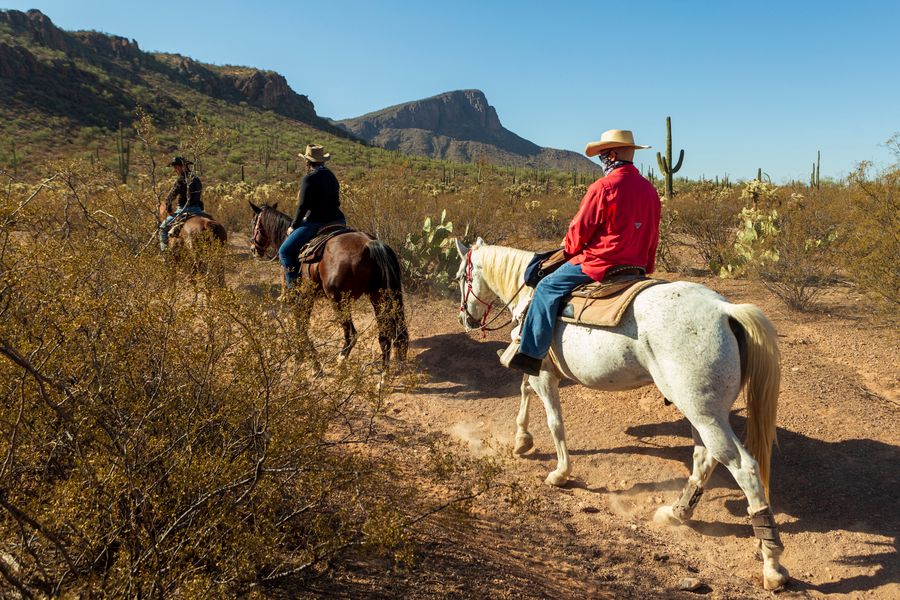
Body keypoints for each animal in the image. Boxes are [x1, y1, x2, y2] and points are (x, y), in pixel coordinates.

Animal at [250, 202, 412, 370]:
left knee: (352, 333)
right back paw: (384, 373)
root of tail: (370, 244)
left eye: (253, 222)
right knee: (387, 334)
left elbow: (300, 324)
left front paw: (306, 358)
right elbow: (302, 324)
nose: (253, 249)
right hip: (378, 296)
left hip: (339, 300)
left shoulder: (301, 296)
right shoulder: (308, 296)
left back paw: (341, 359)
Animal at [458, 239, 788, 592]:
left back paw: (771, 566)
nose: (465, 319)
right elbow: (523, 391)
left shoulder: (543, 372)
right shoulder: (536, 367)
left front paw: (560, 473)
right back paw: (677, 513)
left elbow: (554, 421)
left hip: (704, 414)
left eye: (461, 276)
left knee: (744, 468)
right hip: (702, 413)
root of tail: (725, 311)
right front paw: (522, 440)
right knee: (704, 457)